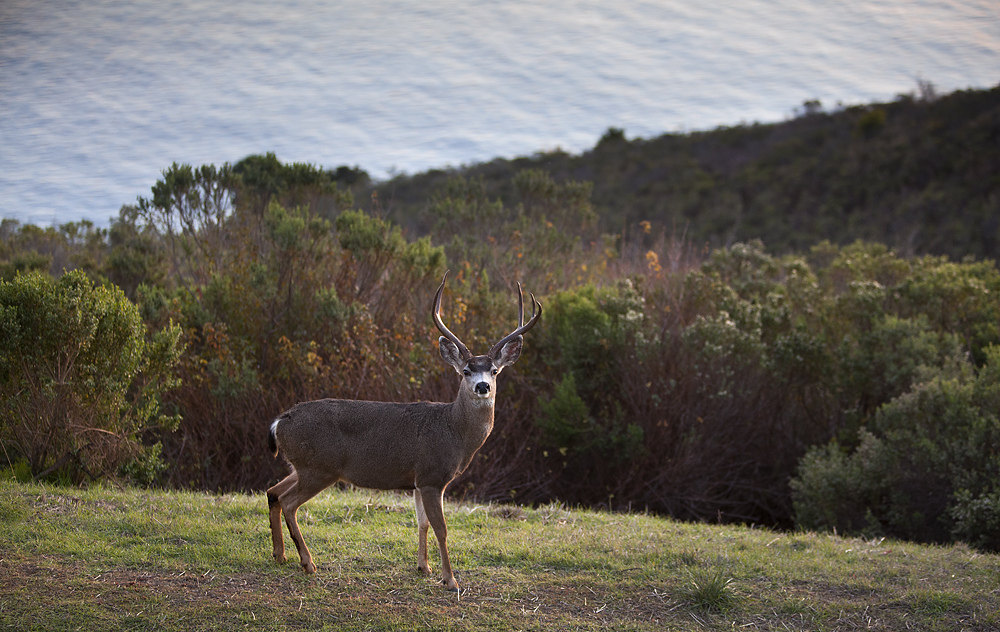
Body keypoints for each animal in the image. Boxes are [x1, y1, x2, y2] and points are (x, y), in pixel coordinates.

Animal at [266, 272, 540, 592]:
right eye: (466, 371)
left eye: (495, 371)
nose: (482, 386)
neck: (454, 432)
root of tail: (279, 422)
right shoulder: (433, 476)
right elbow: (441, 528)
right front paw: (451, 580)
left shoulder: (418, 482)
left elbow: (422, 523)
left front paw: (424, 567)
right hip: (318, 467)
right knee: (288, 502)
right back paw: (308, 562)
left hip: (302, 466)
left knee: (273, 492)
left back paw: (280, 555)